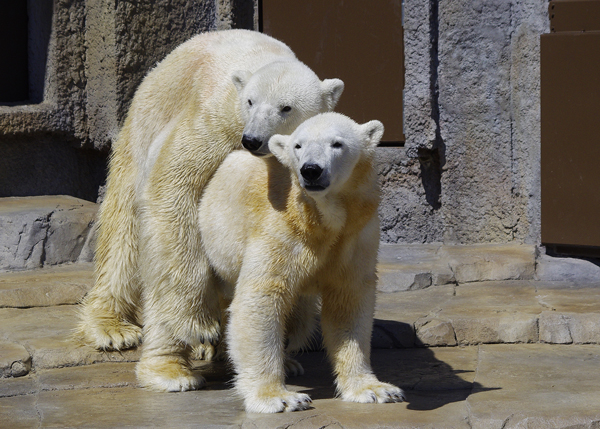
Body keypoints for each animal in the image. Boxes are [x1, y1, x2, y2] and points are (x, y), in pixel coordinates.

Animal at [77, 29, 344, 392]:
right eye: (250, 101)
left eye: (286, 108)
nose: (253, 140)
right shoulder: (216, 119)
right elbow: (176, 186)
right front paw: (198, 325)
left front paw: (288, 330)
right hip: (142, 129)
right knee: (129, 238)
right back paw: (145, 350)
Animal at [198, 113, 408, 412]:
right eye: (298, 145)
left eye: (337, 143)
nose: (311, 170)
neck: (321, 220)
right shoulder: (282, 229)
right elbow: (262, 296)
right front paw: (278, 397)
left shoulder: (355, 235)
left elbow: (348, 301)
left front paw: (375, 389)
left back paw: (288, 362)